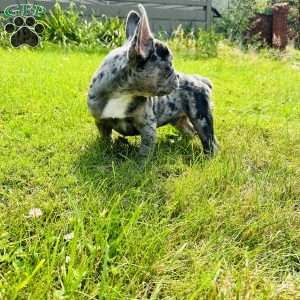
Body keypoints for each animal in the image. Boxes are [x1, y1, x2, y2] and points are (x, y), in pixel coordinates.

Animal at [86, 4, 218, 157]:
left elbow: (145, 151)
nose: (177, 76)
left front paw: (140, 163)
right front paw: (105, 151)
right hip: (178, 119)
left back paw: (209, 157)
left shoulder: (147, 127)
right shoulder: (101, 122)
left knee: (209, 140)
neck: (121, 93)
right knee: (189, 130)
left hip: (201, 117)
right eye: (169, 66)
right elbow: (106, 139)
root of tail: (200, 80)